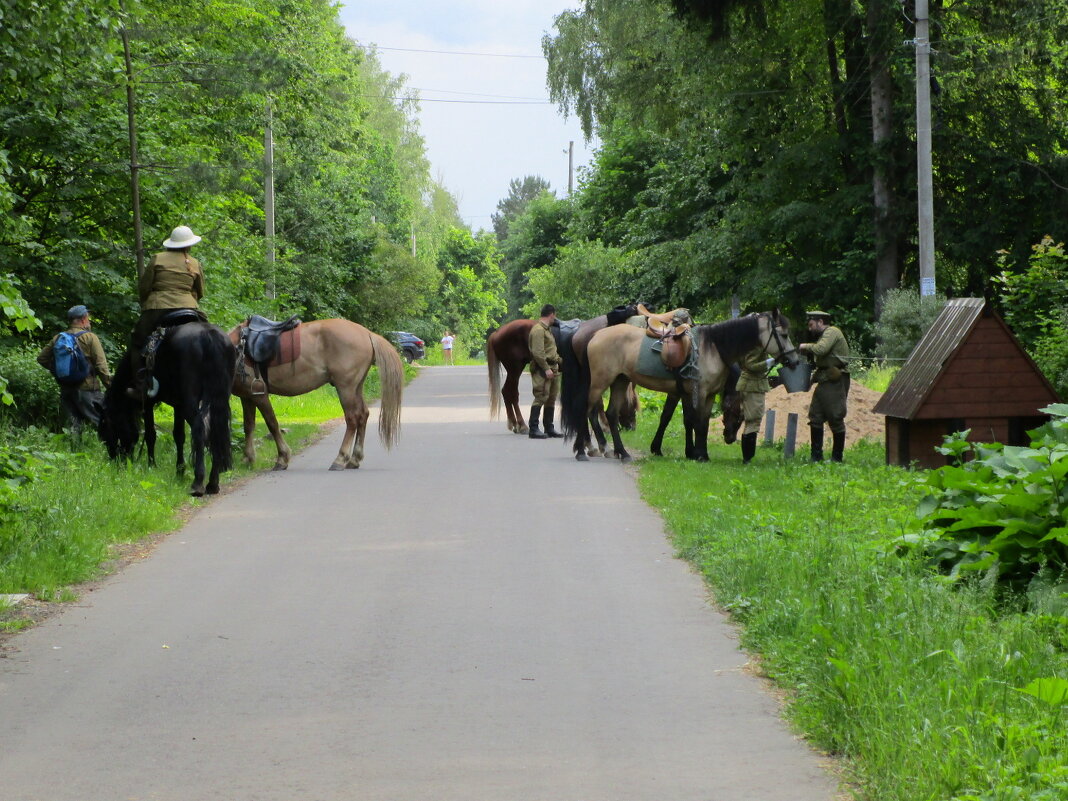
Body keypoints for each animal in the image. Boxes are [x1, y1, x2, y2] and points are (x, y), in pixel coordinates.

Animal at [98, 318, 238, 495]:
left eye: (105, 428)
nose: (115, 460)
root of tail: (208, 334)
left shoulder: (148, 403)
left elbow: (150, 435)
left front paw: (152, 465)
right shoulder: (178, 406)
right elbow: (179, 435)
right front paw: (180, 471)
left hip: (190, 401)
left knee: (200, 429)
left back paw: (198, 482)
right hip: (217, 399)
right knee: (216, 430)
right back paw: (213, 483)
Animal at [229, 318, 403, 469]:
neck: (237, 349)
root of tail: (367, 333)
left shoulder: (259, 395)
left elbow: (272, 424)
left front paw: (282, 458)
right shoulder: (247, 397)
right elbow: (248, 426)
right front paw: (248, 458)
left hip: (345, 388)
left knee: (352, 418)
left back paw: (340, 459)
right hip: (356, 387)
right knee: (363, 415)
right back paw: (354, 459)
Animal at [489, 303, 636, 440]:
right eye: (633, 404)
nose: (632, 427)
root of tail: (497, 333)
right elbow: (598, 401)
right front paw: (605, 426)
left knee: (507, 392)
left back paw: (516, 424)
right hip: (515, 369)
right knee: (511, 393)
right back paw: (521, 425)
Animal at [559, 313, 803, 463]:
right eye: (782, 334)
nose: (794, 360)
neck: (713, 346)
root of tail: (594, 334)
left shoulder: (699, 394)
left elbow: (693, 421)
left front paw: (696, 453)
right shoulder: (698, 392)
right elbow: (697, 423)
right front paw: (697, 454)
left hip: (620, 381)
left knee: (610, 414)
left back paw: (621, 452)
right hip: (600, 382)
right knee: (587, 411)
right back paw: (583, 450)